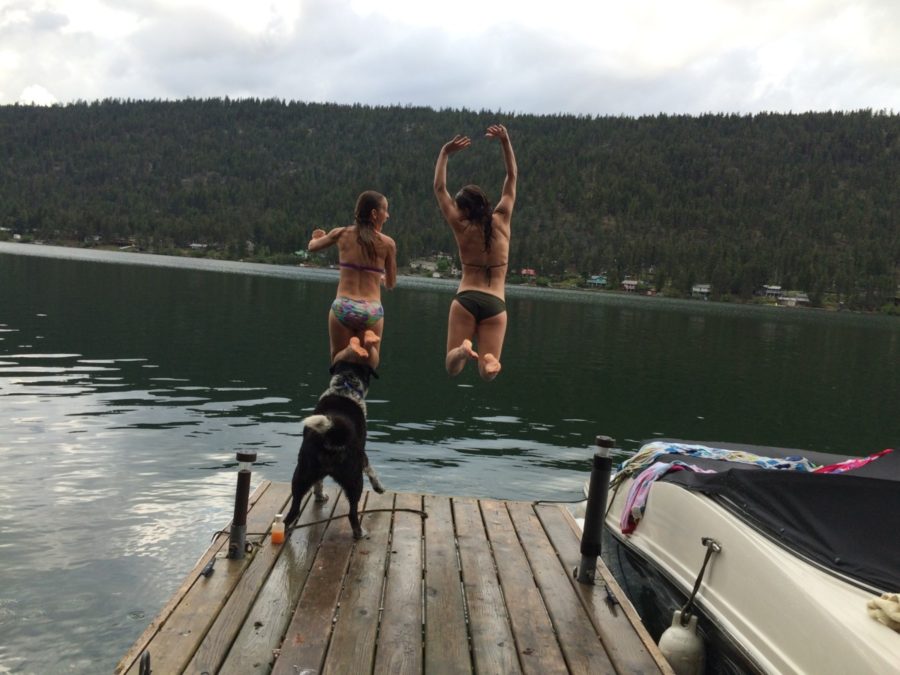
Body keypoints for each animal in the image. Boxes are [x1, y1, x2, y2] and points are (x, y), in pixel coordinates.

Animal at [284, 362, 386, 540]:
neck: (345, 386)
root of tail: (334, 433)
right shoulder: (362, 453)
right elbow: (371, 469)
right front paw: (378, 487)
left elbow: (318, 483)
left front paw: (319, 496)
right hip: (354, 479)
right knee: (352, 513)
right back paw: (360, 533)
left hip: (301, 475)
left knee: (292, 512)